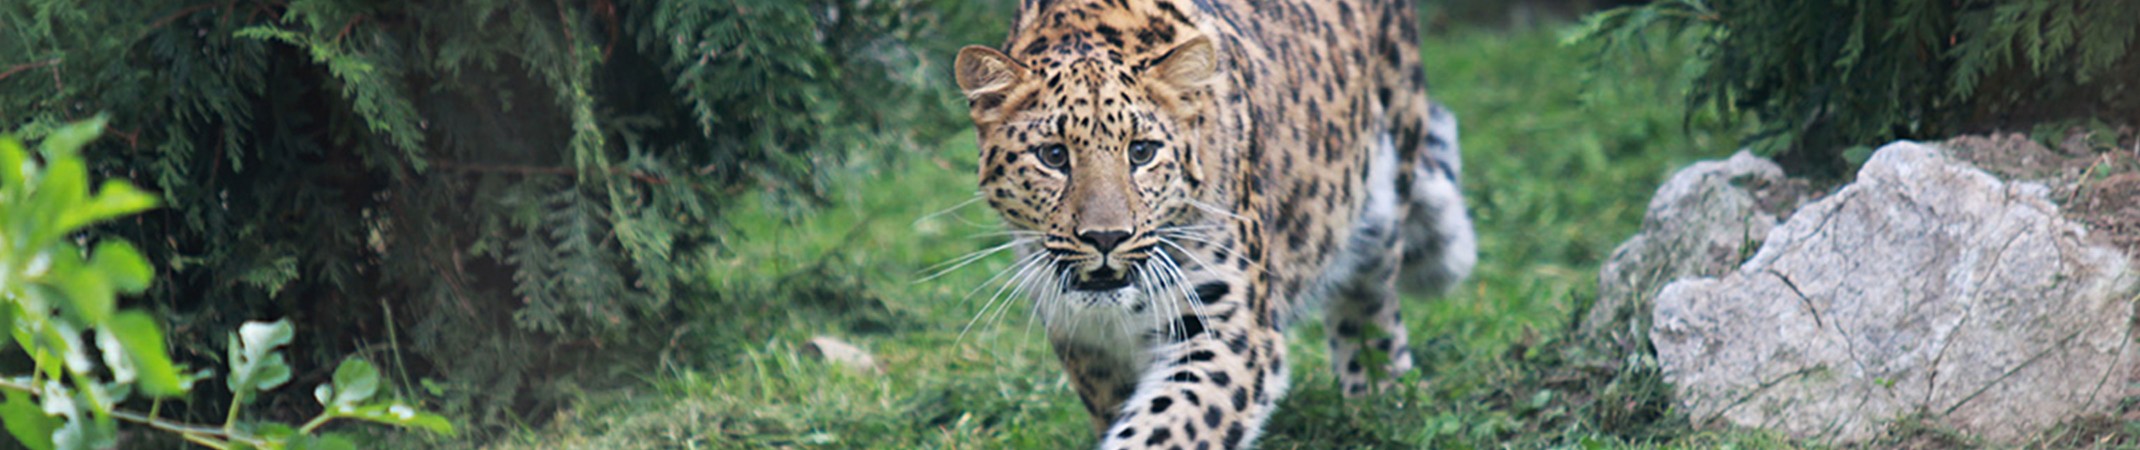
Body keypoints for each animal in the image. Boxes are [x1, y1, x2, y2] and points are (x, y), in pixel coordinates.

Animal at [954, 0, 1472, 445]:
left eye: (1141, 152)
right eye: (1054, 156)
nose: (1106, 237)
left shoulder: (1229, 330)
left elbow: (1166, 426)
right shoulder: (1084, 343)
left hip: (1384, 185)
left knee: (1370, 304)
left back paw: (1380, 398)